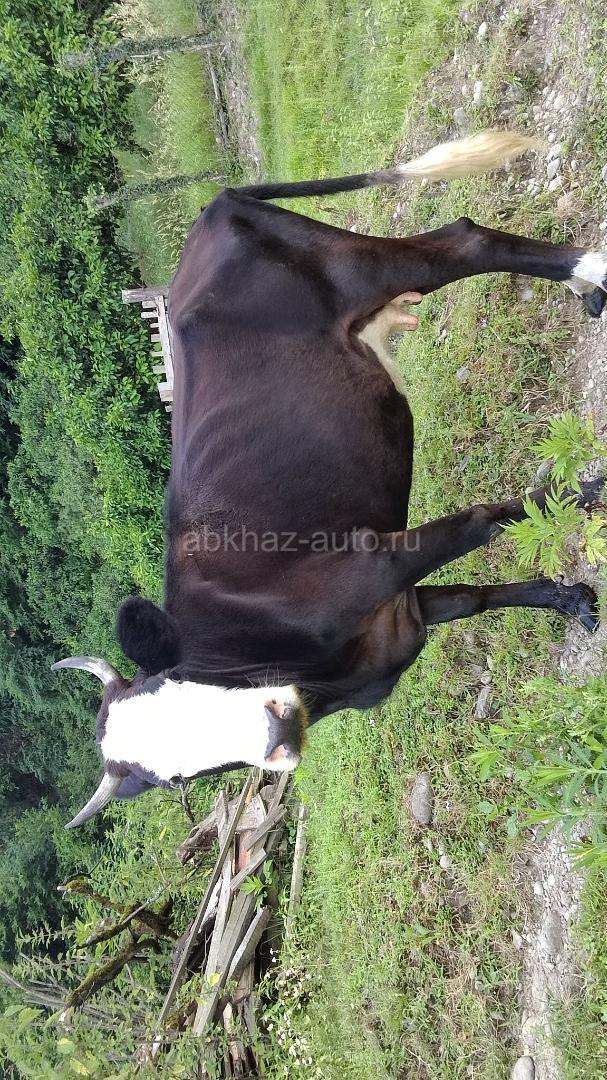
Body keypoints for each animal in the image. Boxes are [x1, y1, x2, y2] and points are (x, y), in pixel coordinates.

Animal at [55, 132, 606, 828]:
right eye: (177, 779)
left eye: (183, 682)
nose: (276, 735)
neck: (318, 671)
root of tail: (210, 213)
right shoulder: (399, 617)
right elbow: (477, 596)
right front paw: (569, 599)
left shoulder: (373, 562)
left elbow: (484, 522)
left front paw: (587, 494)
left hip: (362, 269)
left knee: (464, 243)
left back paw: (595, 273)